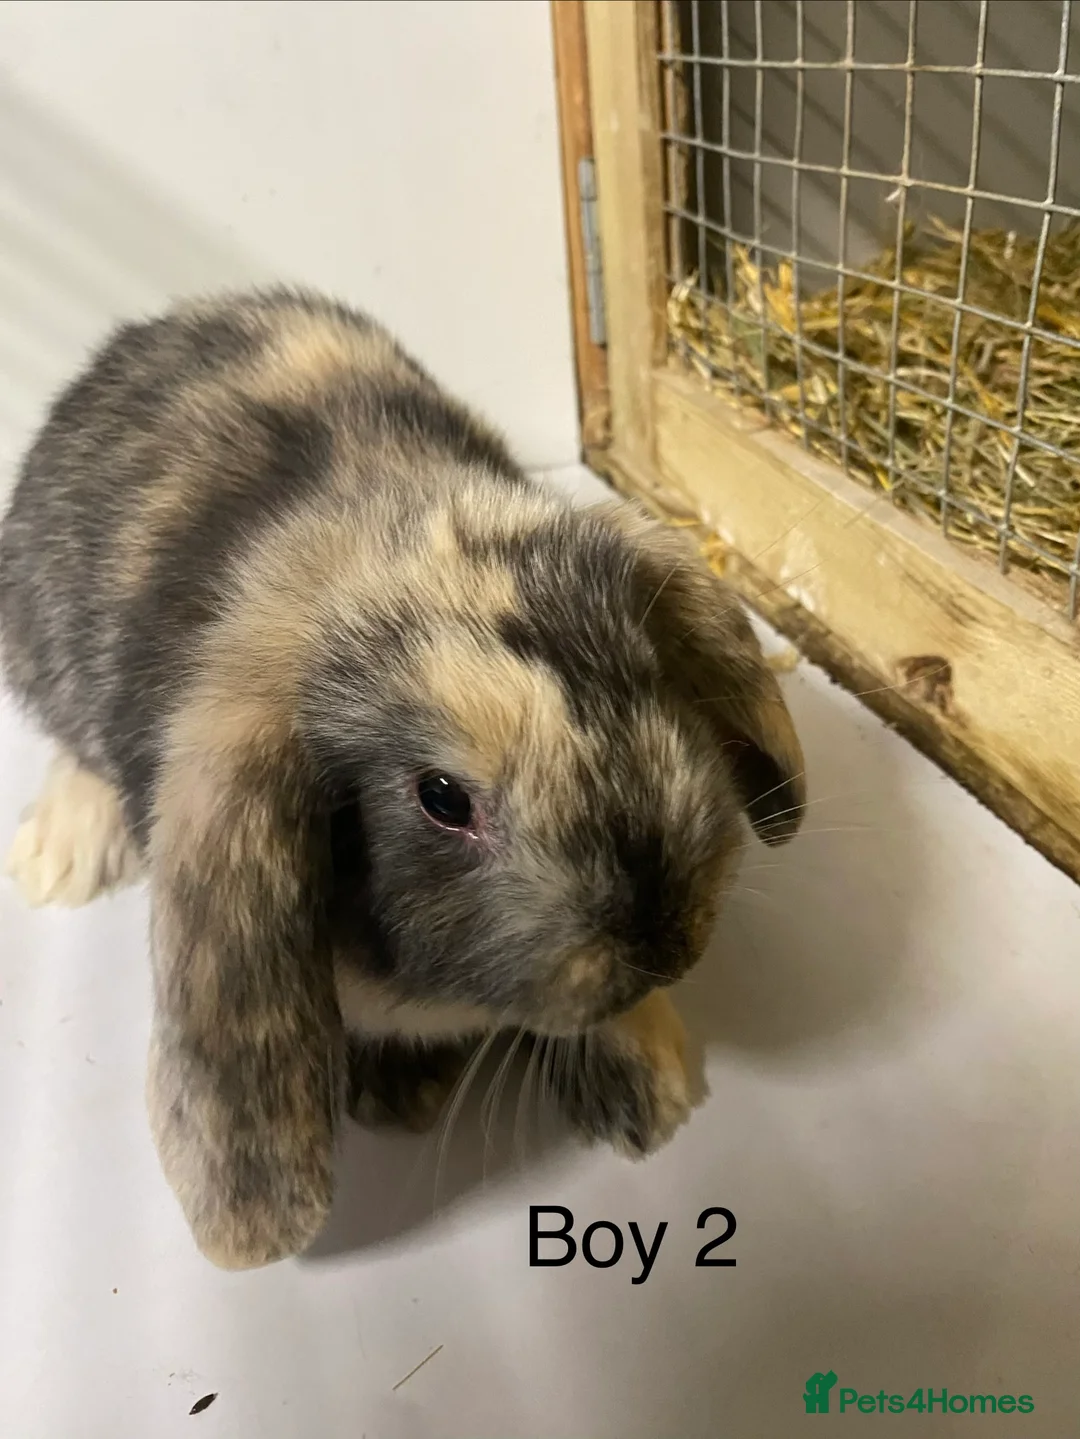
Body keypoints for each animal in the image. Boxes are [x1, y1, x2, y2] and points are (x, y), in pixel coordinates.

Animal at [0, 288, 805, 1270]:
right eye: (442, 798)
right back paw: (58, 856)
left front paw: (653, 1089)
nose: (668, 942)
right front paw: (406, 1089)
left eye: (647, 676)